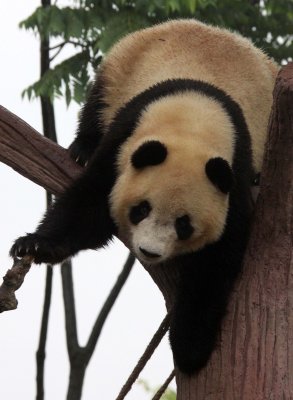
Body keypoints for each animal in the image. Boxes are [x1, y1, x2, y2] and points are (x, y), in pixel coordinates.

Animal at [10, 19, 278, 376]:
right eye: (141, 209)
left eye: (183, 225)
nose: (149, 252)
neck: (193, 120)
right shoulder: (125, 140)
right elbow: (88, 207)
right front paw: (34, 244)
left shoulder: (235, 171)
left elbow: (217, 259)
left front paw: (190, 345)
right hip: (123, 62)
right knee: (97, 102)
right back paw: (82, 148)